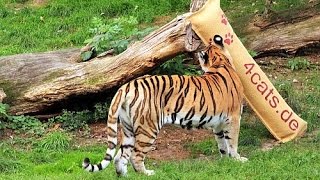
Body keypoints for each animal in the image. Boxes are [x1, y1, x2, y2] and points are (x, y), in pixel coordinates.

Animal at [83, 34, 248, 176]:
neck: (220, 62)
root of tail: (126, 86)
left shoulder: (218, 123)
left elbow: (222, 143)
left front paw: (225, 161)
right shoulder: (233, 118)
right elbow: (232, 141)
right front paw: (238, 159)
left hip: (128, 128)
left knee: (120, 157)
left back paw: (124, 176)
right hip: (148, 128)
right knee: (135, 156)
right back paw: (148, 174)